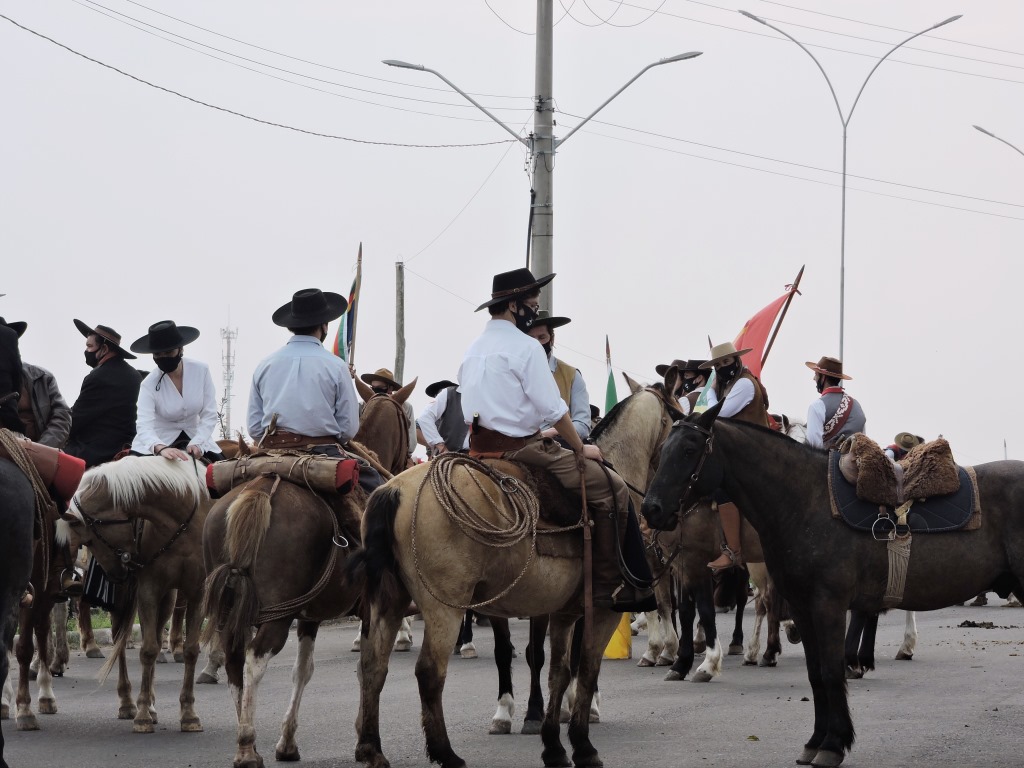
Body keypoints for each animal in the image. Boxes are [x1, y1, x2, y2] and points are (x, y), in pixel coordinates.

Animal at [61, 454, 211, 737]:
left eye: (90, 538)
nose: (117, 572)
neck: (179, 525)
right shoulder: (148, 589)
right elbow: (148, 650)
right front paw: (141, 714)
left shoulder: (197, 591)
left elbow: (190, 650)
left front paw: (188, 714)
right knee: (121, 642)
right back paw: (128, 703)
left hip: (166, 598)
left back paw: (151, 705)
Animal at [643, 403, 1024, 768]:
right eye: (663, 449)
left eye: (690, 449)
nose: (651, 509)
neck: (805, 502)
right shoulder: (801, 607)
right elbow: (815, 674)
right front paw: (816, 741)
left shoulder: (827, 605)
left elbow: (829, 671)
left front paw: (833, 744)